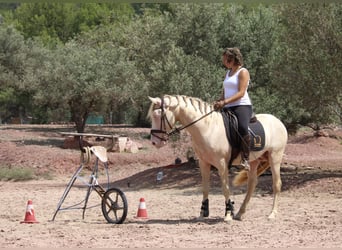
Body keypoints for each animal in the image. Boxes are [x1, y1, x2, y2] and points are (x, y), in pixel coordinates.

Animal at [148, 94, 288, 221]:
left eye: (157, 115)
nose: (154, 142)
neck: (207, 128)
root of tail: (278, 121)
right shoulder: (203, 163)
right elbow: (205, 188)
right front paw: (203, 213)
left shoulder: (221, 164)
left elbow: (225, 188)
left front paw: (228, 214)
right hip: (254, 161)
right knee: (251, 184)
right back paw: (240, 213)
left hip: (275, 157)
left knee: (276, 184)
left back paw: (272, 214)